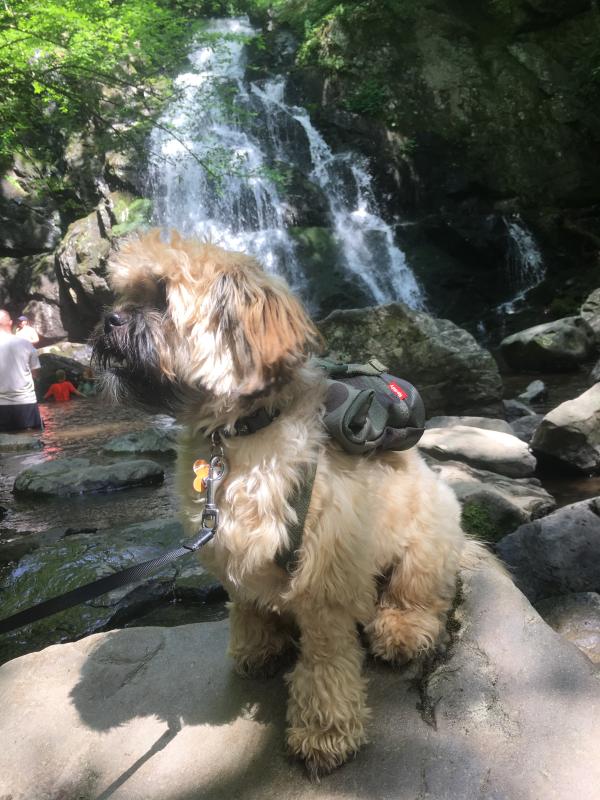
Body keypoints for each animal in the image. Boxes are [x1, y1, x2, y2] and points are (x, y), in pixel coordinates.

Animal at [93, 230, 468, 777]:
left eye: (161, 296)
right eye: (124, 295)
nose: (108, 320)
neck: (241, 434)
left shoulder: (325, 575)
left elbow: (325, 660)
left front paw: (324, 732)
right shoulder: (227, 546)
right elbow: (246, 603)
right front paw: (258, 646)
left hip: (429, 536)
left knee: (416, 596)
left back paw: (401, 628)